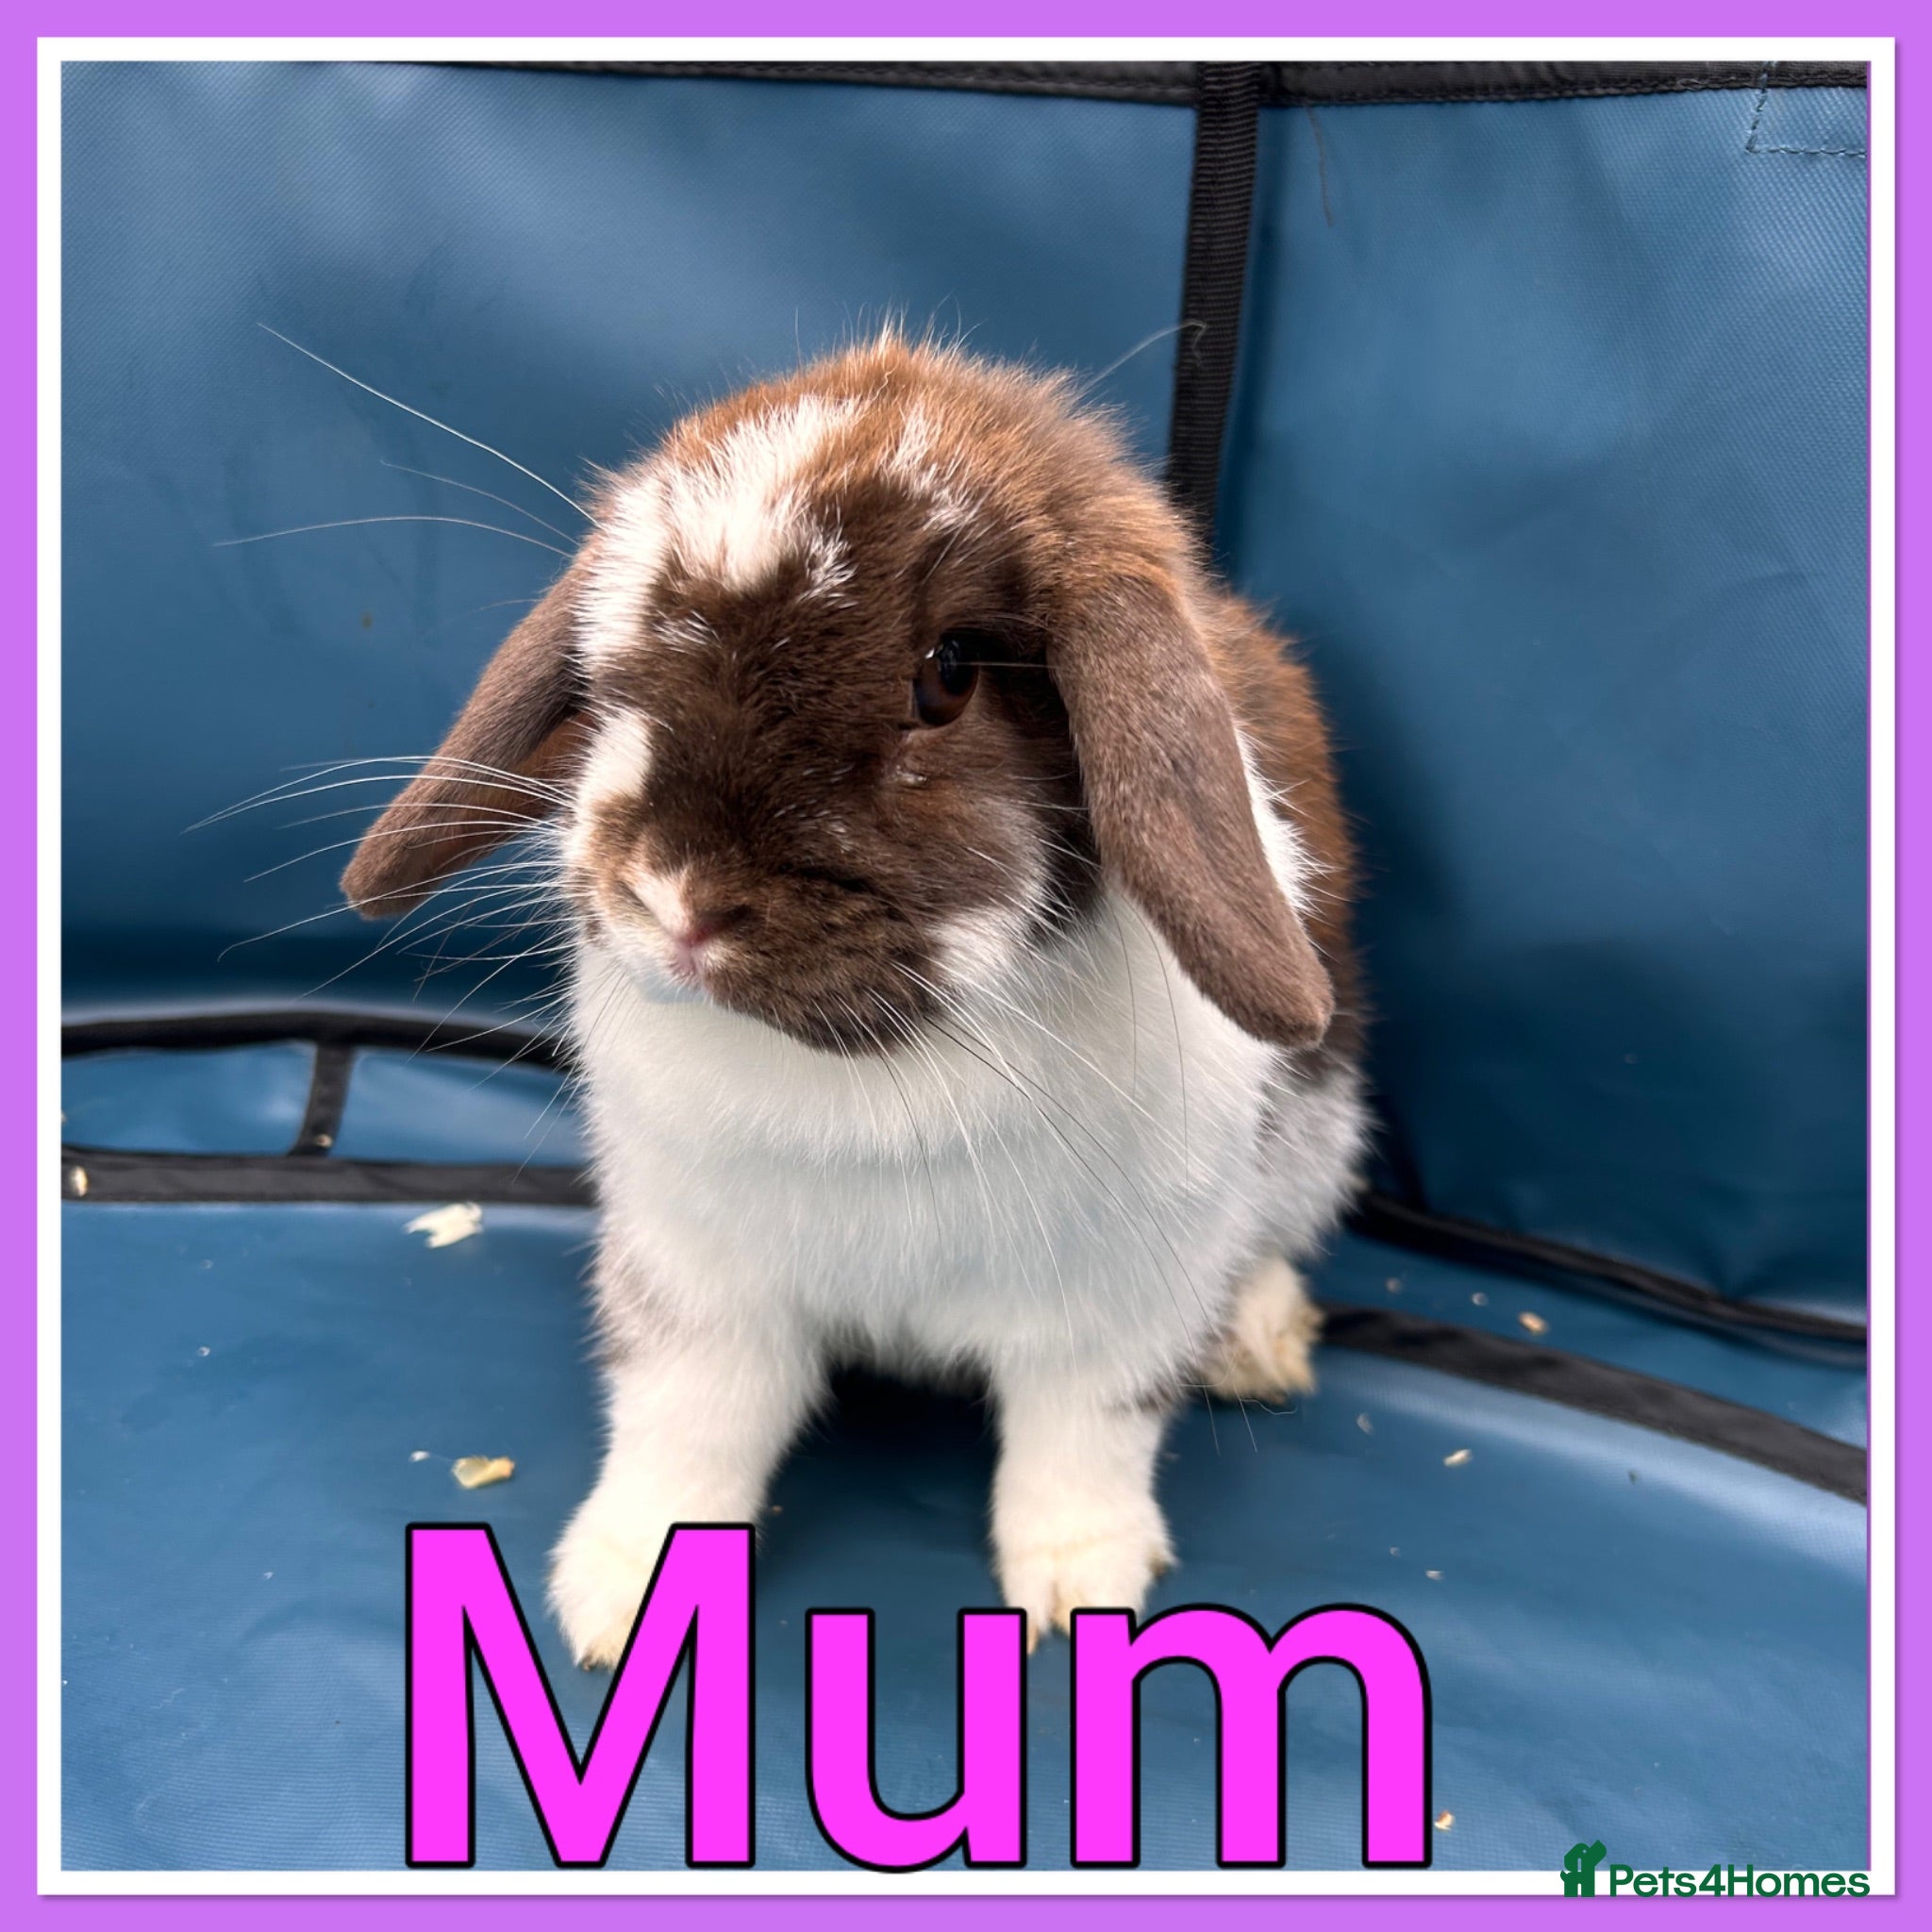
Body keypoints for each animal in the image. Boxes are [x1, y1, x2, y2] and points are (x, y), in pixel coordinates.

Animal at [341, 332, 1367, 1668]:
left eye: (949, 673)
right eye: (610, 667)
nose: (676, 894)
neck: (872, 1070)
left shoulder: (1116, 1303)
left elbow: (1080, 1442)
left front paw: (1077, 1590)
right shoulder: (693, 1281)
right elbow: (686, 1429)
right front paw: (616, 1600)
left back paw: (1254, 1340)